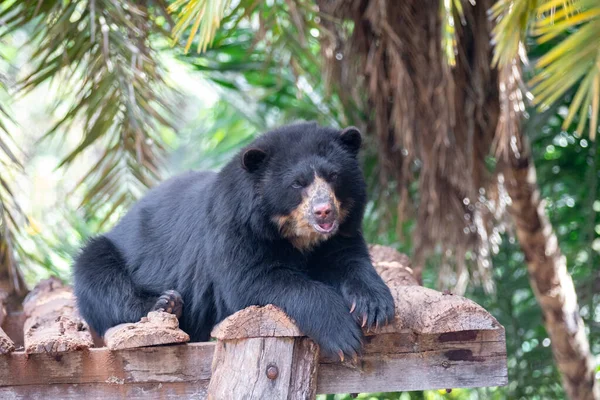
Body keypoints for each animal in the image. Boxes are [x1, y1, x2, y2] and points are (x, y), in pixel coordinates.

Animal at [71, 122, 394, 360]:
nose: (324, 211)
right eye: (297, 184)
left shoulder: (341, 232)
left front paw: (376, 306)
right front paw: (343, 337)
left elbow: (350, 260)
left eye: (333, 176)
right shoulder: (234, 229)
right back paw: (166, 303)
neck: (296, 234)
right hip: (108, 252)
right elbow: (254, 280)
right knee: (99, 278)